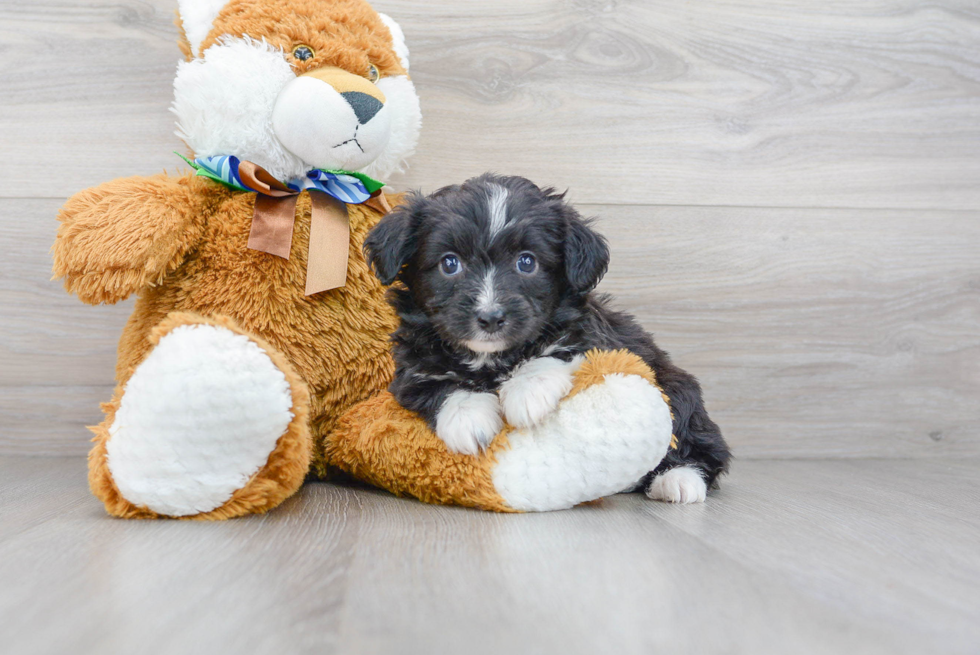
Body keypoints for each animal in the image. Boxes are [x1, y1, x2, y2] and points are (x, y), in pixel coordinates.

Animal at [364, 173, 732, 502]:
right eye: (449, 263)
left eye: (527, 262)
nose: (490, 317)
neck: (491, 358)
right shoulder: (413, 366)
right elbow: (437, 385)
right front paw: (469, 417)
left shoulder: (595, 339)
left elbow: (558, 350)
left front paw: (527, 391)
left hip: (677, 389)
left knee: (700, 446)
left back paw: (679, 480)